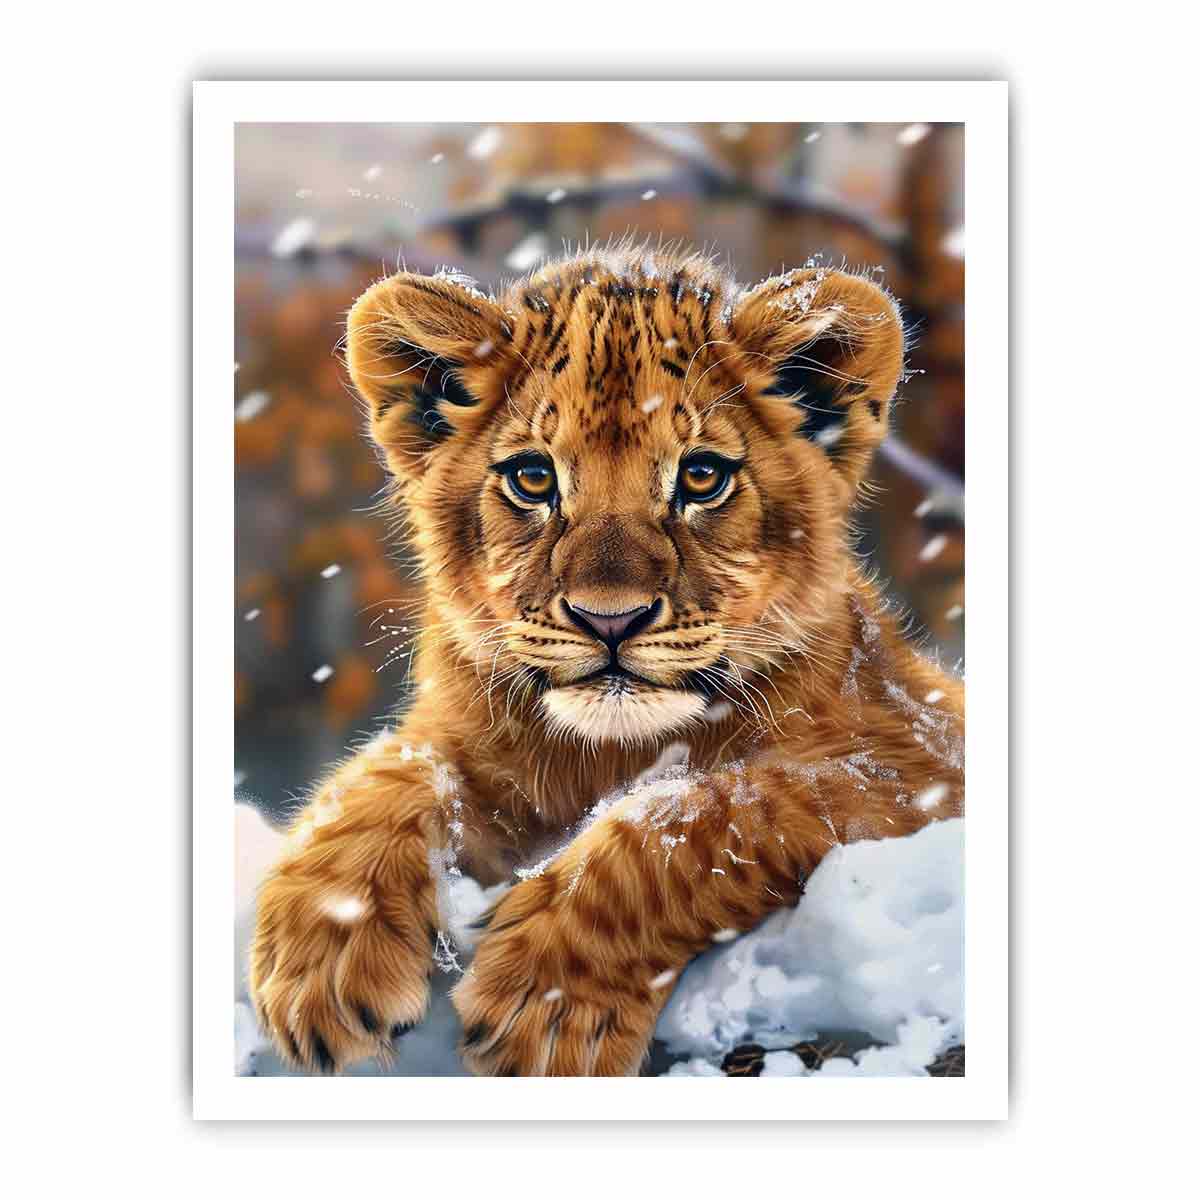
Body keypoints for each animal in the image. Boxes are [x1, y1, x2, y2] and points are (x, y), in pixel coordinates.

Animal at [247, 243, 964, 1077]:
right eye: (533, 478)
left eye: (701, 477)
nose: (609, 619)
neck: (604, 755)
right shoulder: (460, 733)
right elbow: (386, 774)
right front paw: (322, 957)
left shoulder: (917, 764)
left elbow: (708, 809)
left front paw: (547, 999)